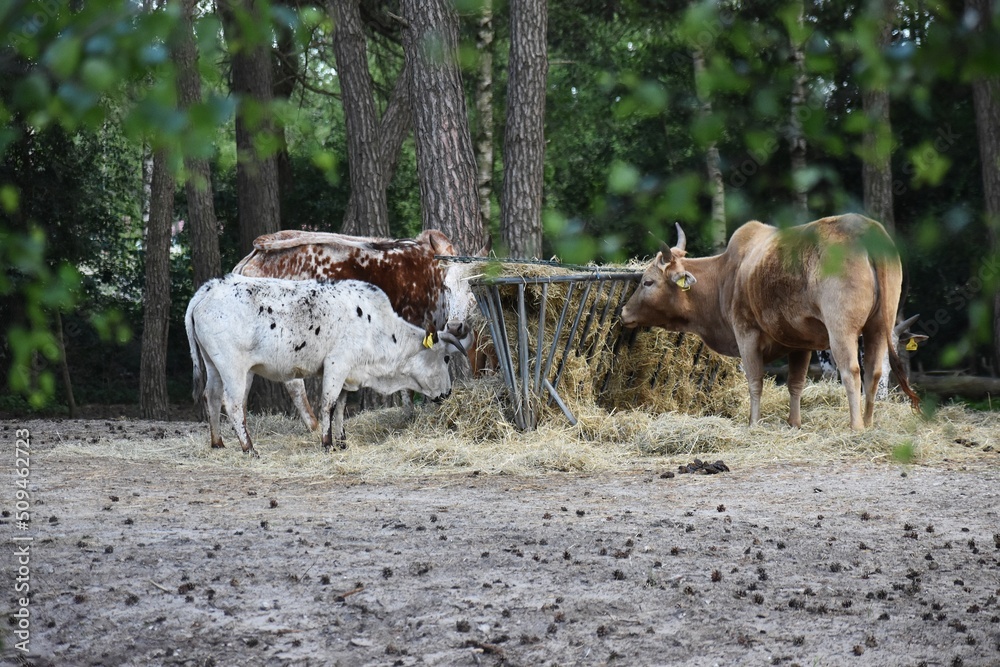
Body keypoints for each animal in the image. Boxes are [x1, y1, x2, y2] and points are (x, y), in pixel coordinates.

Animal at [185, 275, 465, 457]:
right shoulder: (336, 364)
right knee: (232, 403)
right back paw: (249, 447)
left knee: (211, 396)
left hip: (213, 365)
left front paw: (342, 441)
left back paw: (218, 443)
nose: (448, 393)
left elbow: (341, 406)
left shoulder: (348, 373)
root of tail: (210, 287)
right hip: (233, 367)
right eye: (446, 358)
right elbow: (328, 404)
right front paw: (327, 443)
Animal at [232, 228, 489, 430]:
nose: (456, 326)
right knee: (293, 383)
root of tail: (254, 257)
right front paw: (410, 415)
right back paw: (314, 426)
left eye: (473, 288)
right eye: (447, 286)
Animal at [621, 214, 920, 430]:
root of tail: (866, 230)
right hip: (878, 328)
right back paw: (869, 423)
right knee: (874, 372)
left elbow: (755, 381)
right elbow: (795, 384)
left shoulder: (746, 334)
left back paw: (856, 426)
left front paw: (753, 424)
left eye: (648, 282)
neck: (727, 274)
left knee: (851, 371)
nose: (624, 312)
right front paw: (794, 423)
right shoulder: (801, 345)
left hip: (841, 331)